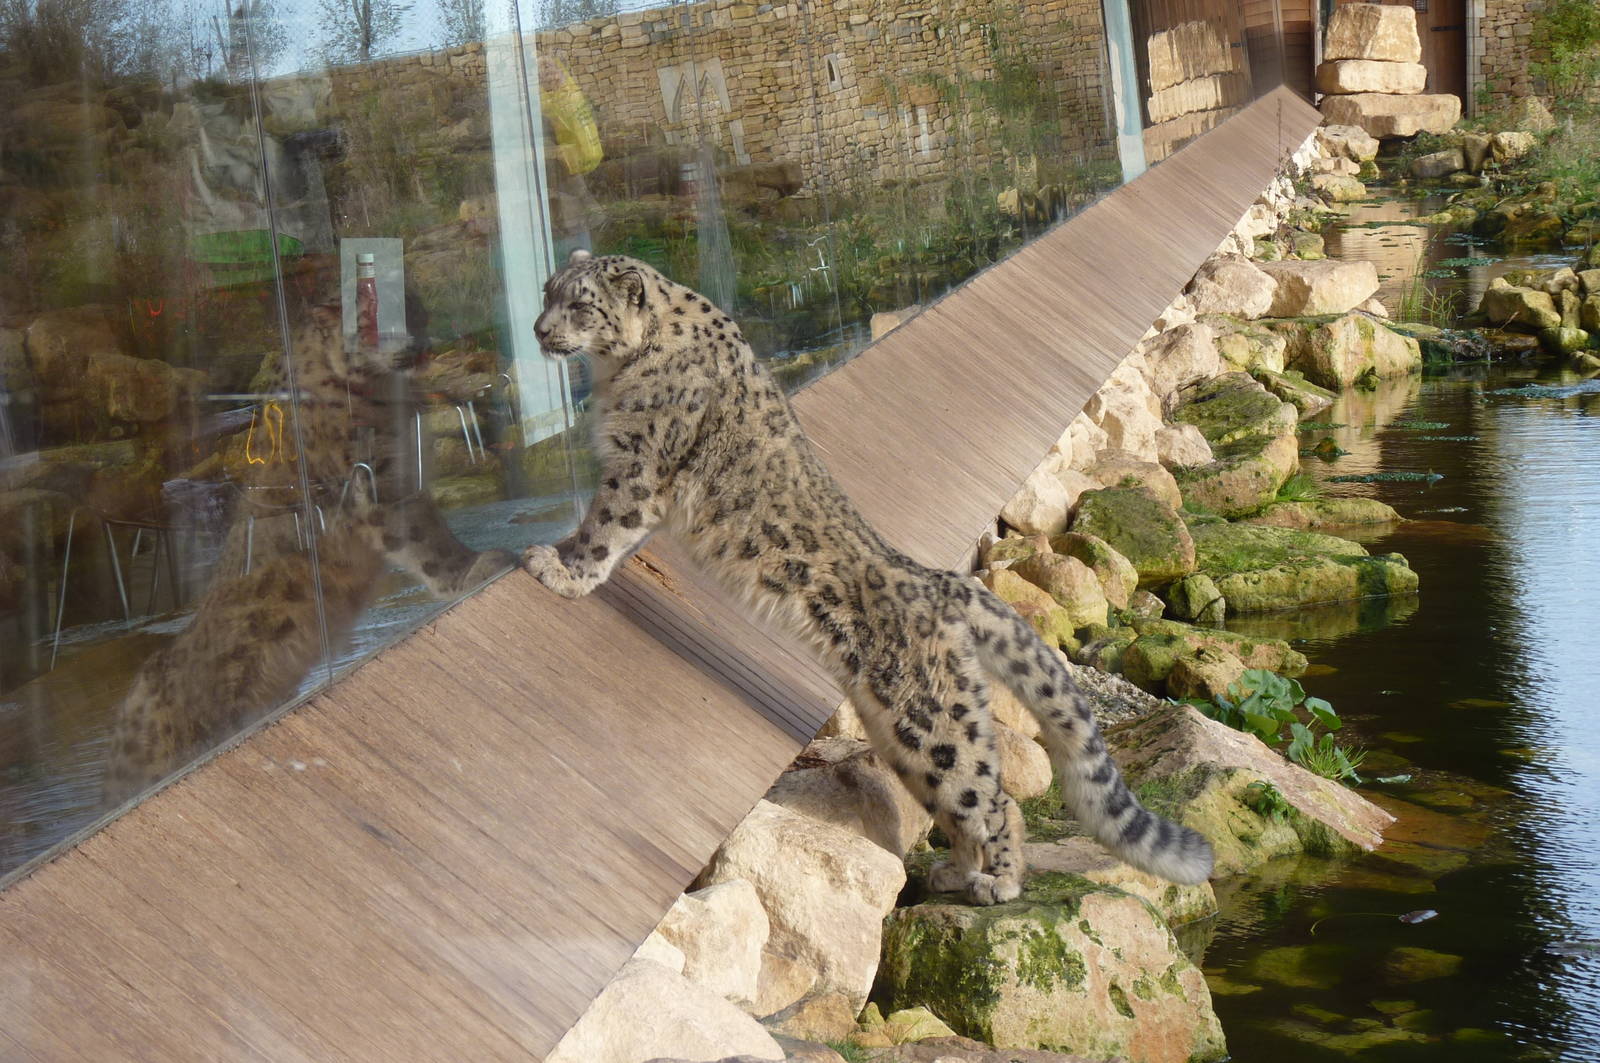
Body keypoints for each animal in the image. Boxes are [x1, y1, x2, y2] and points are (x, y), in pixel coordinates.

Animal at [102, 305, 514, 805]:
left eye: (414, 305)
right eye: (376, 314)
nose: (422, 344)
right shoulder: (379, 488)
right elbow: (427, 541)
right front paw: (476, 568)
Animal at [522, 249, 1214, 903]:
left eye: (579, 304)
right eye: (546, 292)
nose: (537, 329)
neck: (619, 372)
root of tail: (944, 584)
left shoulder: (640, 466)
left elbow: (604, 527)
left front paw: (558, 568)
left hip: (931, 726)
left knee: (993, 799)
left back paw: (1000, 882)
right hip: (901, 738)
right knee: (955, 803)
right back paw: (954, 872)